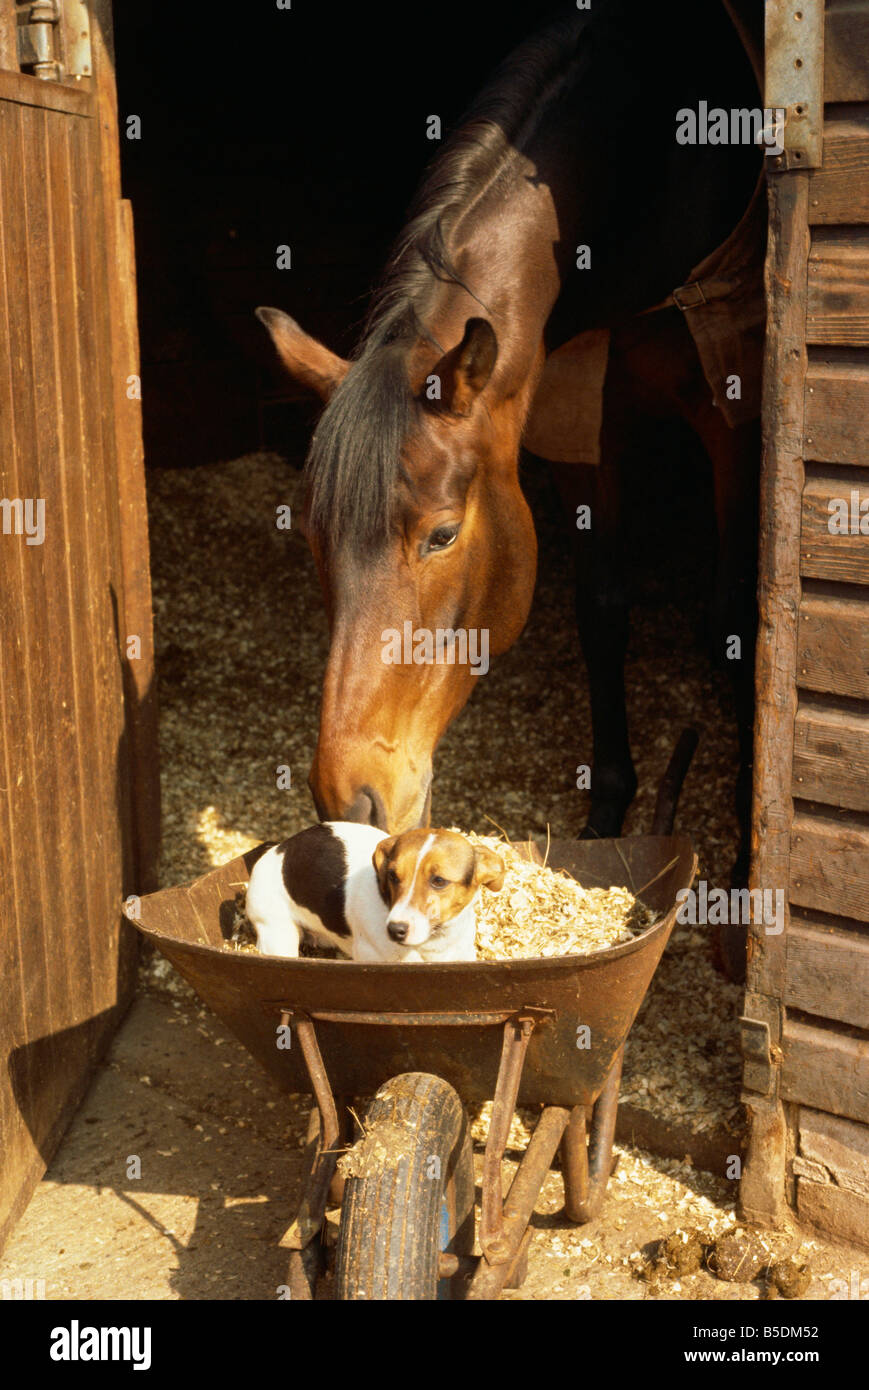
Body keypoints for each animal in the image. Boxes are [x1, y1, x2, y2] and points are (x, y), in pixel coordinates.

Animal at [244, 817, 506, 961]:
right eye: (392, 875)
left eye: (439, 881)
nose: (395, 930)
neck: (431, 943)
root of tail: (275, 849)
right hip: (278, 938)